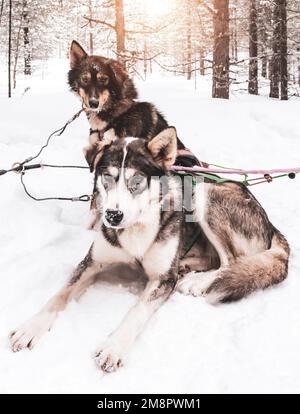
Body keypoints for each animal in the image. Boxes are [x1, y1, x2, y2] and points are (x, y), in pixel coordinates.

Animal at [10, 128, 290, 374]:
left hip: (204, 193)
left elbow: (138, 311)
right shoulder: (91, 263)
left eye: (136, 181)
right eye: (107, 177)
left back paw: (199, 281)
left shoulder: (162, 279)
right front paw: (31, 327)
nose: (112, 216)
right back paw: (188, 267)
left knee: (230, 260)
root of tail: (271, 225)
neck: (135, 228)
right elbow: (59, 295)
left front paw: (114, 346)